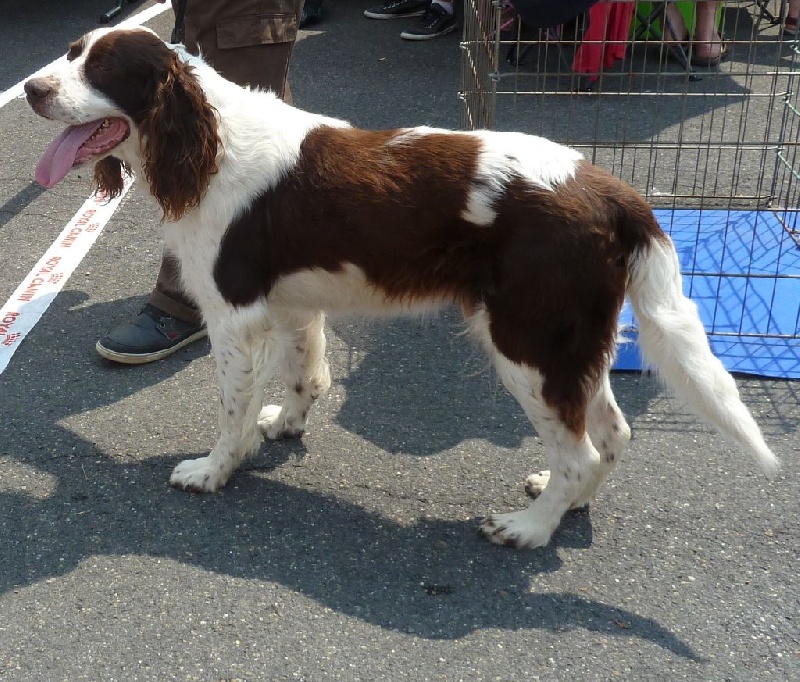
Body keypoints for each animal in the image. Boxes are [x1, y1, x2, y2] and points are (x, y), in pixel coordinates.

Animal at [25, 27, 778, 549]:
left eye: (101, 67)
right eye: (70, 52)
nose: (31, 89)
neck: (206, 145)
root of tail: (615, 193)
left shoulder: (234, 316)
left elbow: (230, 410)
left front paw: (213, 471)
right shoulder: (292, 304)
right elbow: (304, 376)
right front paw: (285, 426)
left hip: (528, 344)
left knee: (580, 449)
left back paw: (529, 528)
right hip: (573, 344)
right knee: (611, 433)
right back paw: (565, 505)